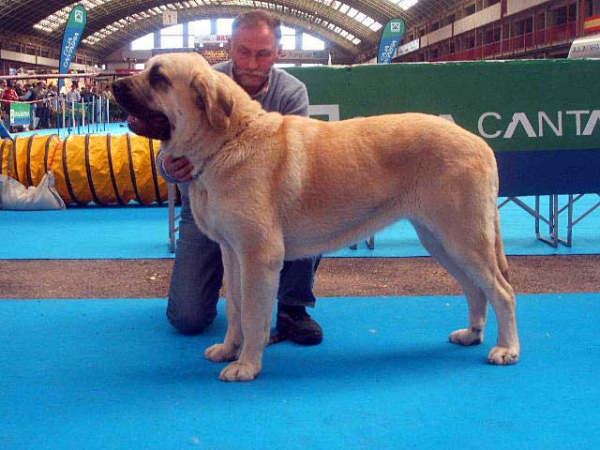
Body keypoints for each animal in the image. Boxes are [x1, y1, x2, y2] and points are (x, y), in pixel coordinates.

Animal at [113, 53, 520, 384]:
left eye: (159, 77)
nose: (114, 84)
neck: (226, 141)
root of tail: (480, 143)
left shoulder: (258, 257)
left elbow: (254, 315)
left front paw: (246, 365)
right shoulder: (232, 254)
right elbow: (236, 308)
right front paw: (229, 350)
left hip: (464, 237)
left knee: (502, 291)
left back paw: (506, 349)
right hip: (440, 240)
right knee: (476, 290)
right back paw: (471, 334)